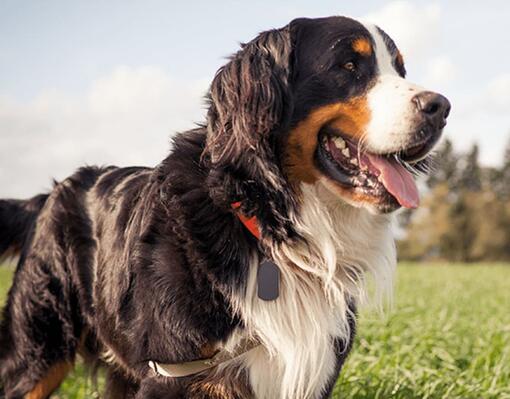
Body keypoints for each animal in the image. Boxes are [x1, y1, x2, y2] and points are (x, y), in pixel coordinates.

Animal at [0, 15, 448, 399]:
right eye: (350, 65)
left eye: (400, 71)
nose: (441, 107)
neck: (271, 228)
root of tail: (51, 193)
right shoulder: (170, 373)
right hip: (38, 354)